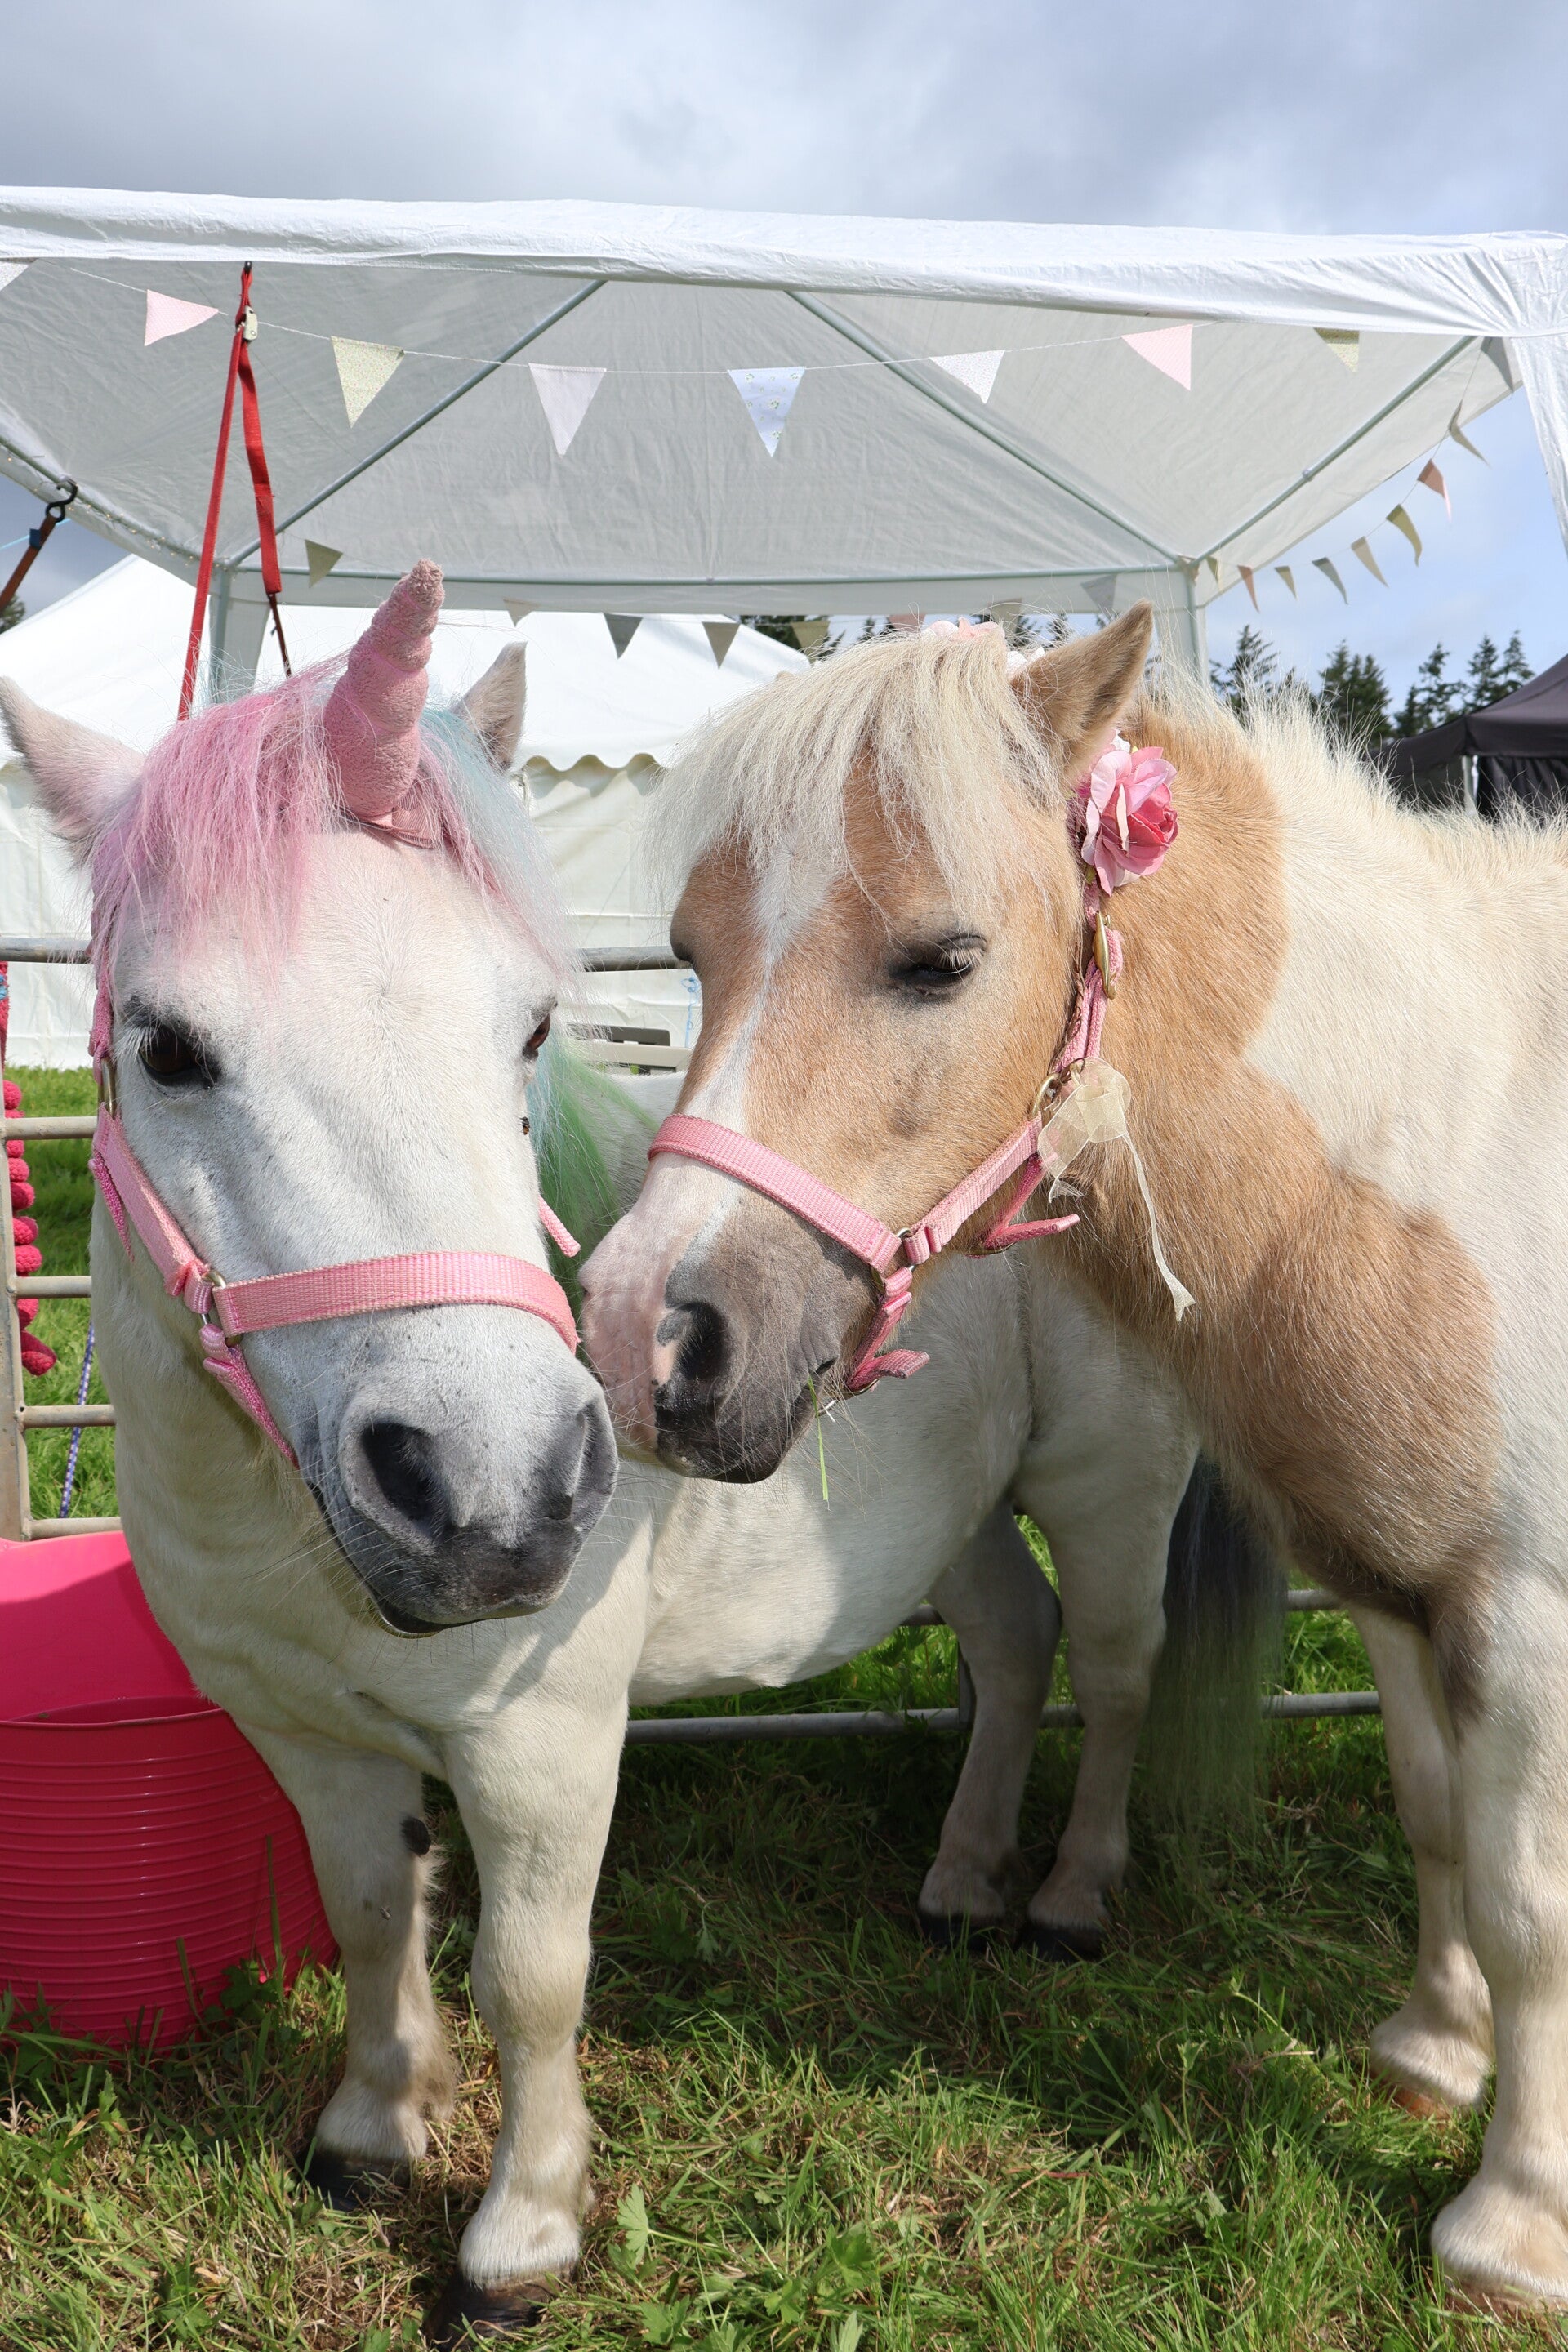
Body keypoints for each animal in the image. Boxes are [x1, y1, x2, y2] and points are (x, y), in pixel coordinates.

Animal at [0, 574, 1234, 2341]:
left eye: (528, 1029)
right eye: (166, 1048)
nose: (494, 1494)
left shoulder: (544, 1744)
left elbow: (531, 1979)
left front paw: (518, 2239)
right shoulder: (300, 1727)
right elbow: (371, 1914)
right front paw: (371, 2130)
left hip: (1110, 1486)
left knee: (1118, 1665)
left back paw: (1065, 1898)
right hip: (953, 1514)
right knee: (1015, 1643)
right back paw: (958, 1879)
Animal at [576, 611, 1539, 2308]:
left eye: (942, 959)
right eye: (692, 958)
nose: (650, 1343)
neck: (1464, 1163)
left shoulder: (1520, 1612)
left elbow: (1527, 1902)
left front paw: (1509, 2226)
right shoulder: (1410, 1592)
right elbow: (1442, 1818)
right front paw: (1434, 2052)